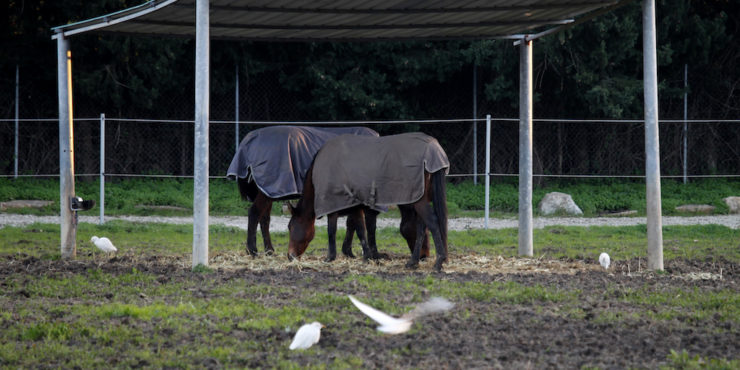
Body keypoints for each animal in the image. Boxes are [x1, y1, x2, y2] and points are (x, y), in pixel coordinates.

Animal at [286, 132, 448, 270]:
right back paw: (413, 262)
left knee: (432, 223)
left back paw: (438, 262)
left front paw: (331, 257)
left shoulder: (334, 204)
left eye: (290, 226)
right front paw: (370, 256)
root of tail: (433, 149)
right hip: (419, 199)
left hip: (419, 201)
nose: (290, 256)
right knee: (422, 227)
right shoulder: (357, 206)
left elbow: (335, 230)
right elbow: (364, 230)